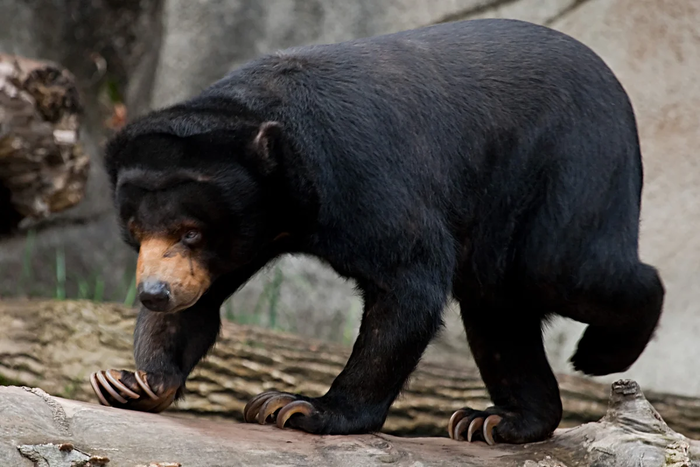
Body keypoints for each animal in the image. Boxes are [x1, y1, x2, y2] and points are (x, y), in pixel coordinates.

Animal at [90, 18, 664, 446]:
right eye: (136, 230)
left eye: (190, 233)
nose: (154, 292)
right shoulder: (246, 231)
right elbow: (198, 306)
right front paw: (132, 383)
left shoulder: (360, 173)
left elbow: (408, 280)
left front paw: (298, 408)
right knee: (498, 310)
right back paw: (498, 420)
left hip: (570, 163)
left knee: (564, 268)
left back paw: (603, 352)